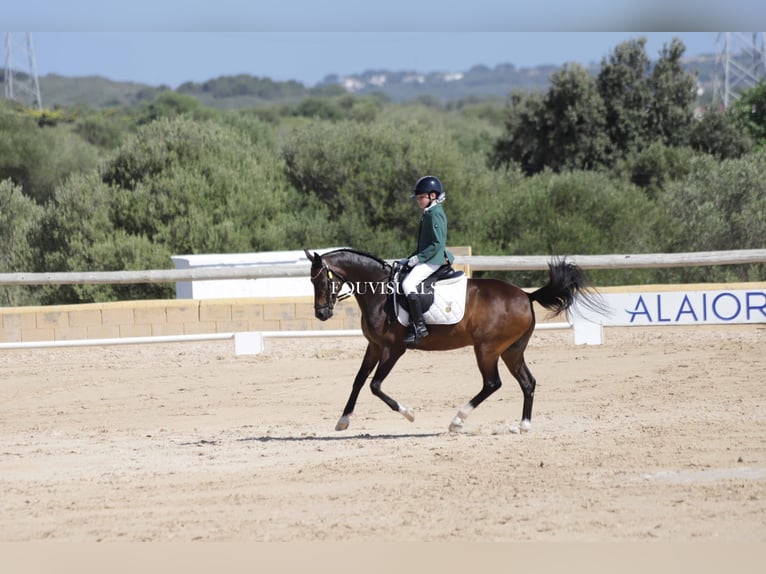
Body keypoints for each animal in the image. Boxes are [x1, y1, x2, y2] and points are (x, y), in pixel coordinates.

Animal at [304, 248, 604, 433]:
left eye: (321, 281)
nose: (321, 314)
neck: (380, 292)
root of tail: (525, 295)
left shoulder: (393, 349)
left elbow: (375, 386)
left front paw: (409, 413)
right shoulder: (374, 346)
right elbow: (358, 381)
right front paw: (343, 421)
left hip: (487, 349)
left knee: (492, 383)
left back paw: (457, 421)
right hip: (511, 351)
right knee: (527, 382)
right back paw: (522, 426)